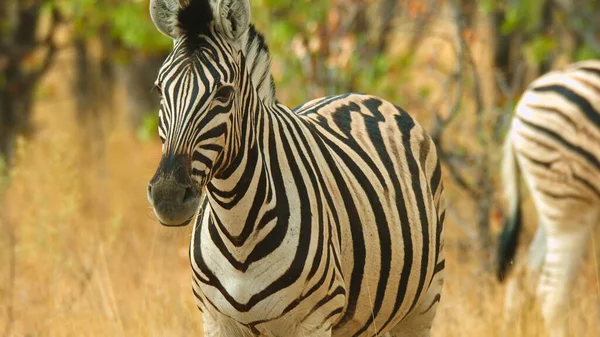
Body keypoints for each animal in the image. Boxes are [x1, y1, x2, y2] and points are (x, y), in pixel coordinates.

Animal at [145, 1, 446, 334]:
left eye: (224, 94)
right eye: (159, 90)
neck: (237, 230)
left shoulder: (314, 320)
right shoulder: (215, 320)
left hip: (424, 303)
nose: (168, 196)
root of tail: (363, 96)